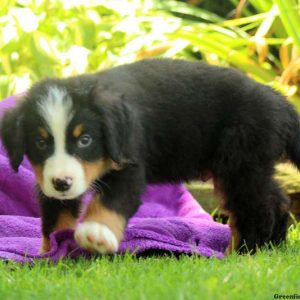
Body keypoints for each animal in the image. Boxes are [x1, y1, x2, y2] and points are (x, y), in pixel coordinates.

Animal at [1, 59, 298, 255]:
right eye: (41, 142)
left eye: (85, 140)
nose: (62, 182)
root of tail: (278, 100)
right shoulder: (47, 181)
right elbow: (56, 216)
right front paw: (52, 252)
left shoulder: (130, 164)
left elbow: (111, 200)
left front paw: (97, 232)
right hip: (251, 166)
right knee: (276, 200)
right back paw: (271, 246)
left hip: (240, 164)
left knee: (256, 208)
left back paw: (241, 254)